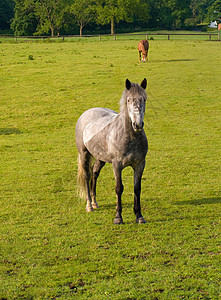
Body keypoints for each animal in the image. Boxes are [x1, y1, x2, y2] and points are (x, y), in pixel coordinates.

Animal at [76, 78, 148, 224]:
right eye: (129, 100)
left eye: (144, 99)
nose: (138, 125)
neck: (130, 138)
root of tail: (87, 113)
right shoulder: (117, 165)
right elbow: (119, 188)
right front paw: (118, 217)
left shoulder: (139, 164)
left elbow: (137, 188)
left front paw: (139, 216)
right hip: (84, 155)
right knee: (87, 176)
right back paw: (89, 206)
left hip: (100, 158)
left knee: (95, 173)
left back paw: (94, 203)